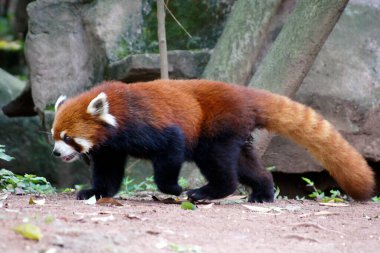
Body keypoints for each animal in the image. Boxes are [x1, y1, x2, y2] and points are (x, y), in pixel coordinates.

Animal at [52, 79, 376, 202]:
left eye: (68, 138)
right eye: (54, 137)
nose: (55, 153)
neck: (118, 111)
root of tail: (243, 94)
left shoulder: (149, 126)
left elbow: (170, 151)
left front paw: (173, 188)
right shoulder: (110, 146)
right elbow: (108, 171)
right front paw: (94, 191)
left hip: (216, 128)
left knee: (218, 163)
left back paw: (205, 192)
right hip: (237, 134)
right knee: (247, 165)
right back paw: (263, 192)